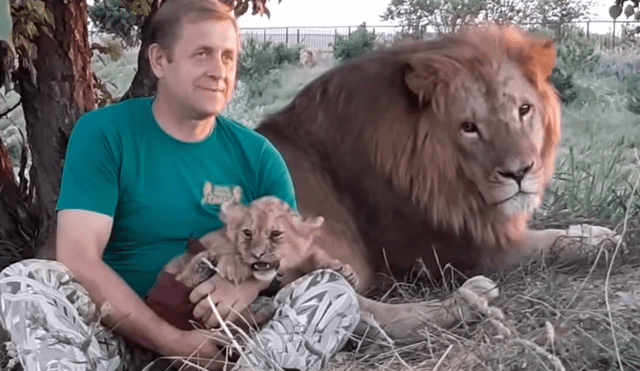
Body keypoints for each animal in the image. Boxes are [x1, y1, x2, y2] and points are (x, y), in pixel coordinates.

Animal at [255, 24, 608, 340]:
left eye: (524, 109)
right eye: (469, 127)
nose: (519, 172)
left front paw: (591, 232)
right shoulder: (462, 251)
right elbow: (550, 242)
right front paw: (601, 241)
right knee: (362, 312)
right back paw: (470, 299)